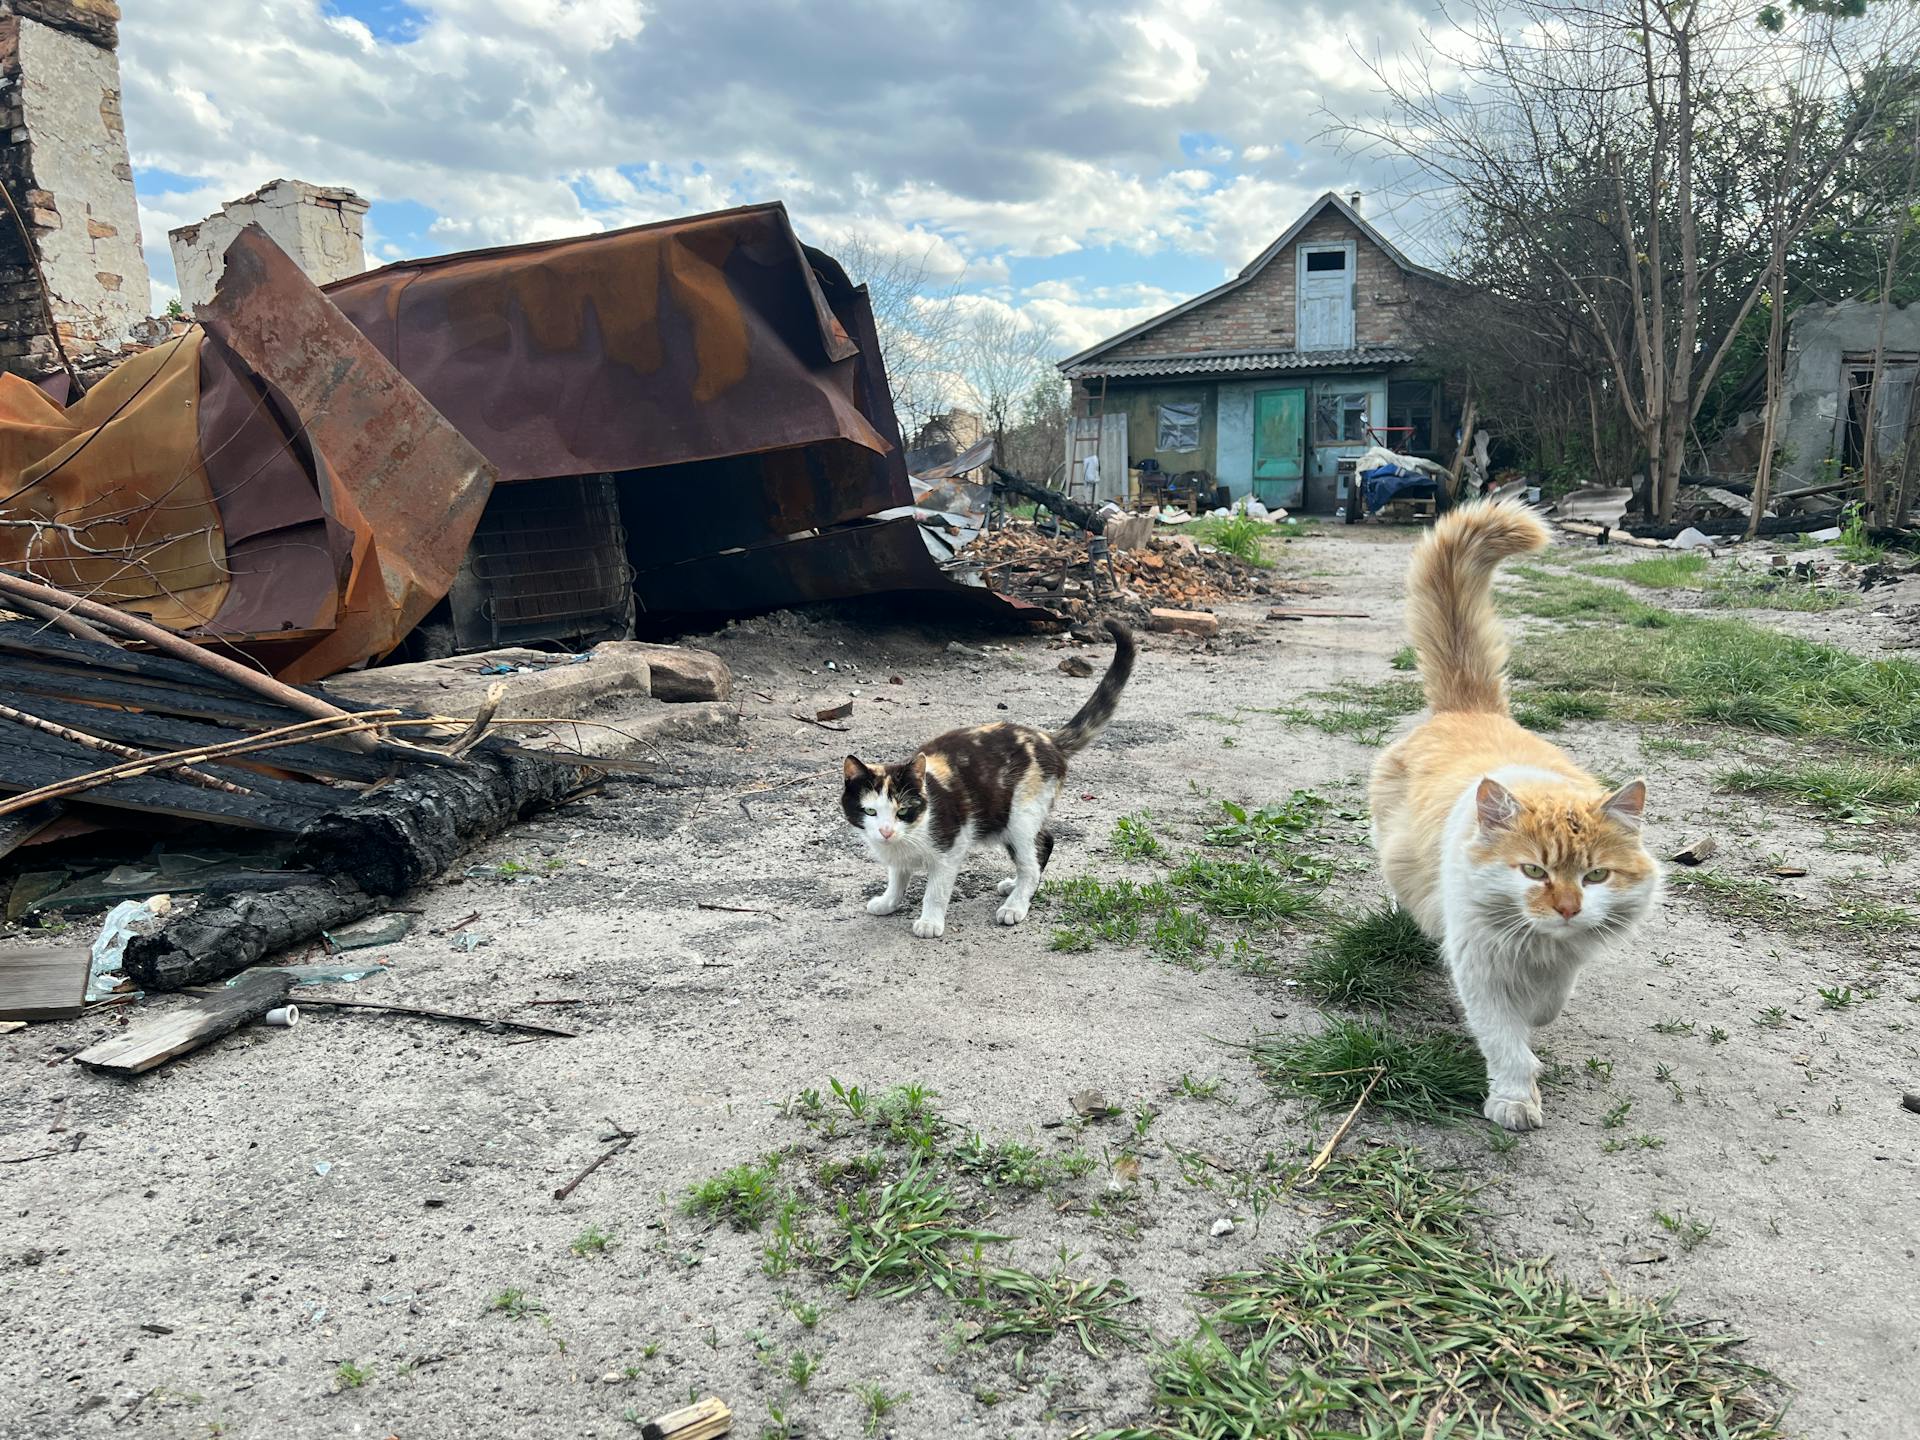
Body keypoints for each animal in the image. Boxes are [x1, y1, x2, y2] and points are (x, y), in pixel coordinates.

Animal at [844, 622, 1136, 940]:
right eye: (870, 811)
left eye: (903, 811)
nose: (885, 832)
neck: (911, 833)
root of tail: (1047, 739)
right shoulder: (898, 854)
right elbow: (898, 875)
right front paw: (889, 901)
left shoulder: (952, 846)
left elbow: (936, 890)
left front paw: (930, 921)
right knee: (1044, 843)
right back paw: (1016, 886)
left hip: (1020, 814)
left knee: (1031, 861)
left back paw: (1016, 904)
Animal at [1367, 503, 1666, 1136]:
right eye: (1532, 871)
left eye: (1595, 876)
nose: (1567, 908)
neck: (1538, 947)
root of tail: (1470, 709)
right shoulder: (1478, 965)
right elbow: (1505, 1040)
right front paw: (1514, 1097)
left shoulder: (1565, 961)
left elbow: (1548, 1005)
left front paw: (1538, 1024)